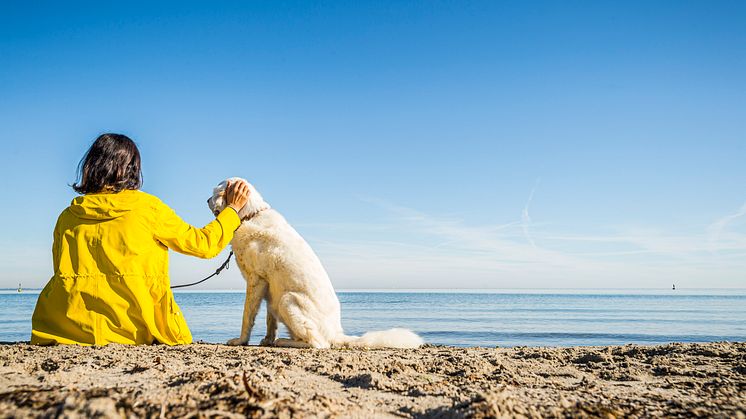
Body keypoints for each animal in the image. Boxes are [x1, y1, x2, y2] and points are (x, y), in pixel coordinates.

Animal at [206, 179, 422, 350]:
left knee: (319, 343)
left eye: (215, 192)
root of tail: (336, 333)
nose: (206, 200)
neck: (251, 215)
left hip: (287, 299)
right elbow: (270, 321)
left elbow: (247, 317)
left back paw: (285, 342)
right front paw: (267, 339)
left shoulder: (256, 280)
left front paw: (241, 340)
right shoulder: (269, 288)